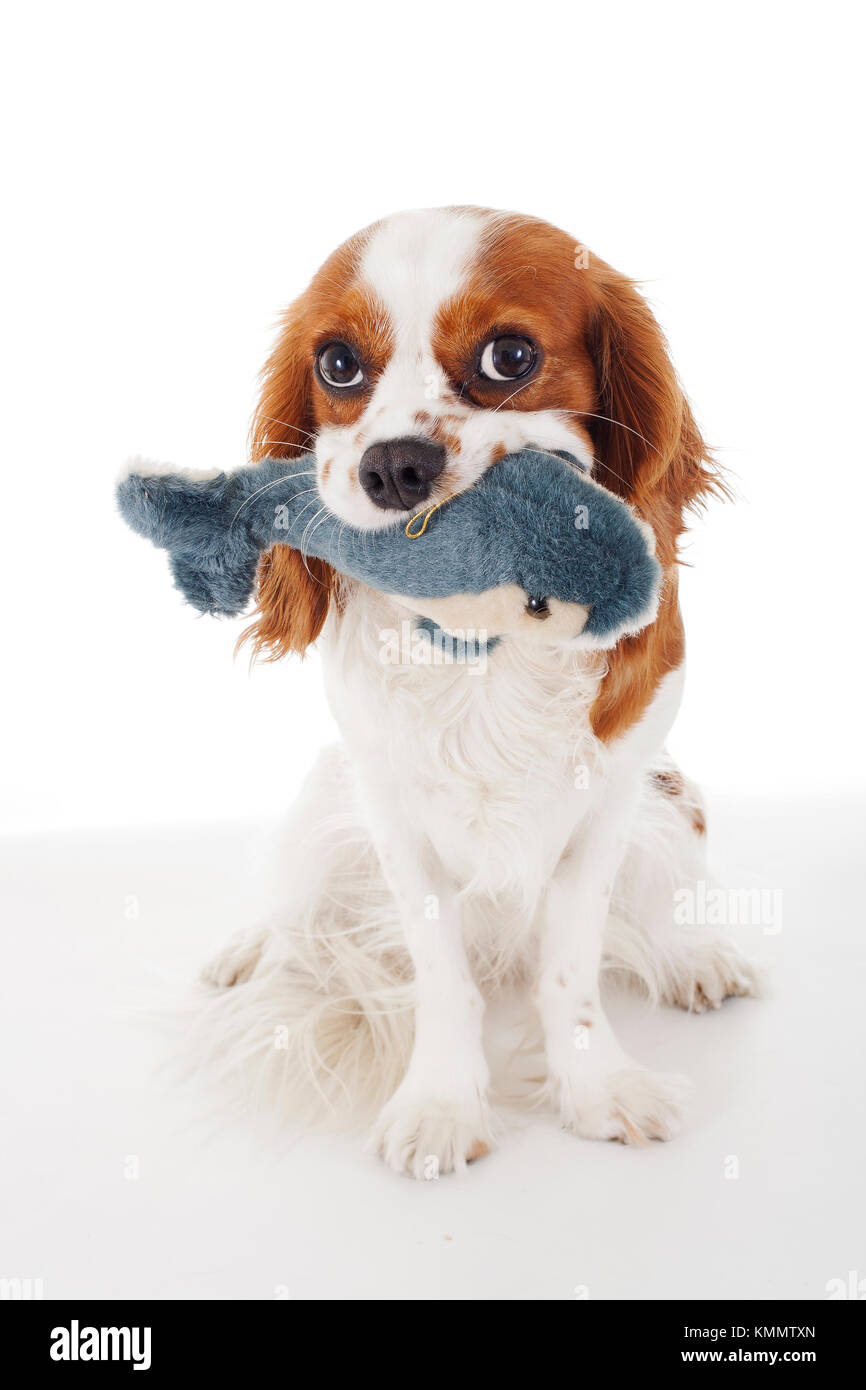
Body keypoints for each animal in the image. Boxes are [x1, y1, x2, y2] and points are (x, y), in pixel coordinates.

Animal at [201, 205, 756, 1178]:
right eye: (337, 364)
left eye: (510, 357)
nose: (393, 466)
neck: (480, 646)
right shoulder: (392, 817)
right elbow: (442, 976)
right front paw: (442, 1103)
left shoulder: (610, 803)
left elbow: (571, 969)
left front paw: (594, 1088)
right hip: (323, 798)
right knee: (297, 903)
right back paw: (252, 949)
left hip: (673, 798)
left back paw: (693, 954)